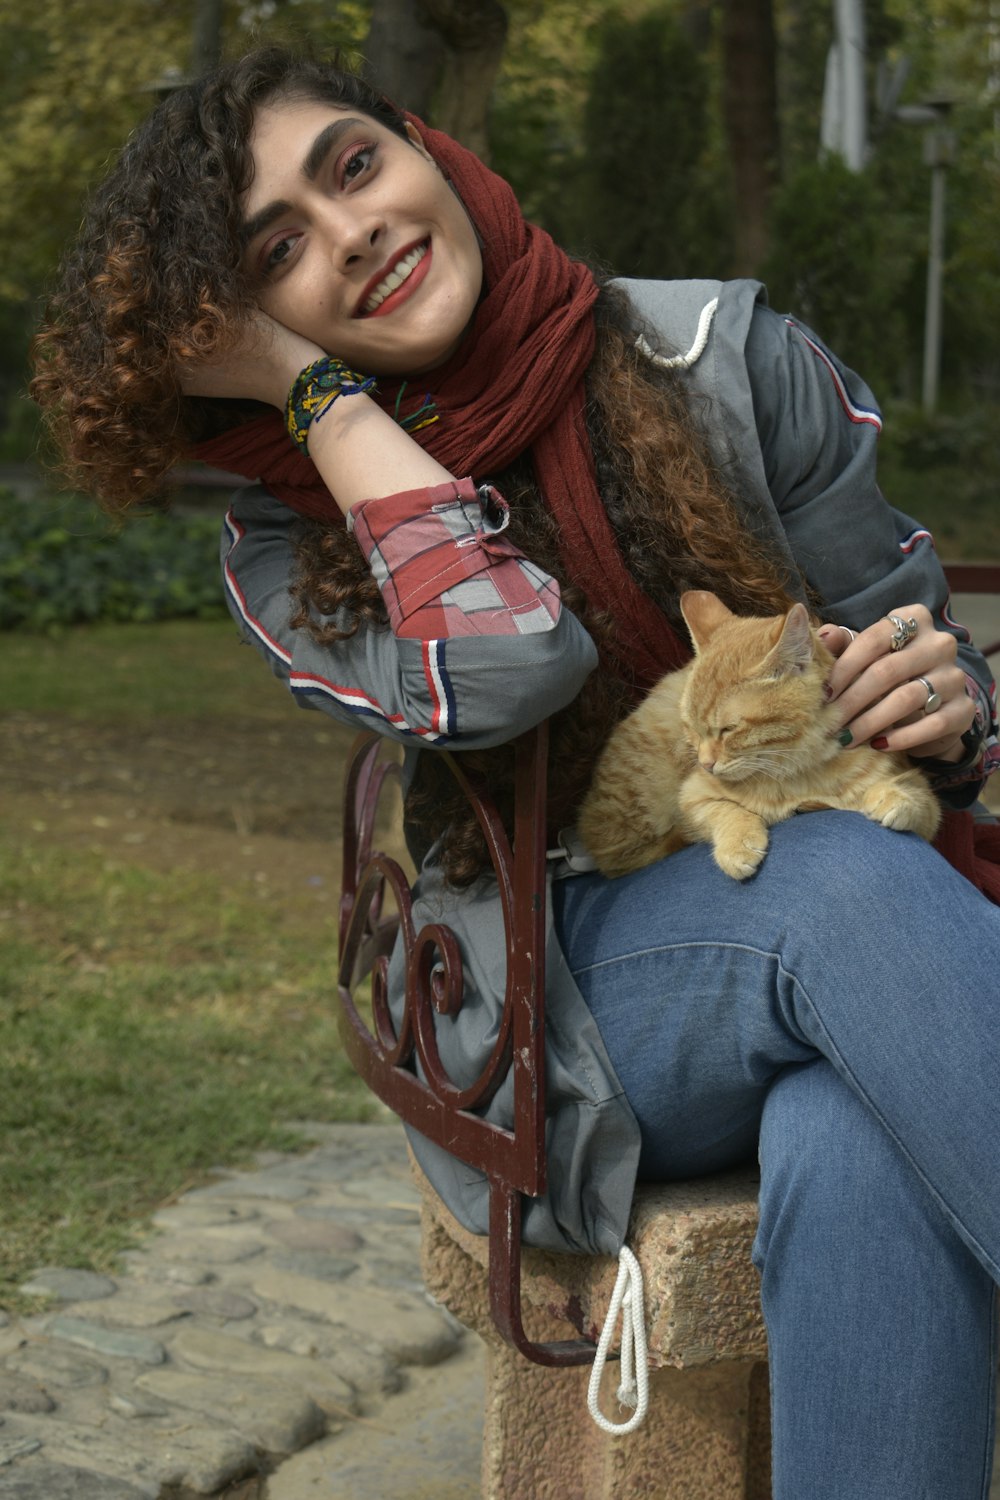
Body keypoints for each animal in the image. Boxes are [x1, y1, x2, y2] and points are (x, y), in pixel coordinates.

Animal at [581, 588, 941, 876]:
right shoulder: (692, 796)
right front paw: (738, 842)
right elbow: (723, 810)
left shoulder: (920, 796)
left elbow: (917, 799)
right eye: (691, 729)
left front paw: (893, 797)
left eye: (728, 729)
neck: (795, 773)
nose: (705, 764)